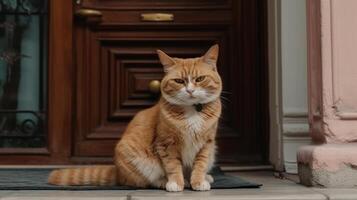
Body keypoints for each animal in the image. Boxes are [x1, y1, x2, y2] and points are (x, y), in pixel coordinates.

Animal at [47, 44, 220, 191]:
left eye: (200, 79)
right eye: (179, 81)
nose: (190, 91)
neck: (192, 111)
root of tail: (118, 172)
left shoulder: (207, 143)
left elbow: (200, 164)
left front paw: (198, 181)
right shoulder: (165, 144)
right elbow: (172, 165)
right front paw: (176, 183)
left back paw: (206, 177)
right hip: (136, 158)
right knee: (142, 181)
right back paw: (164, 181)